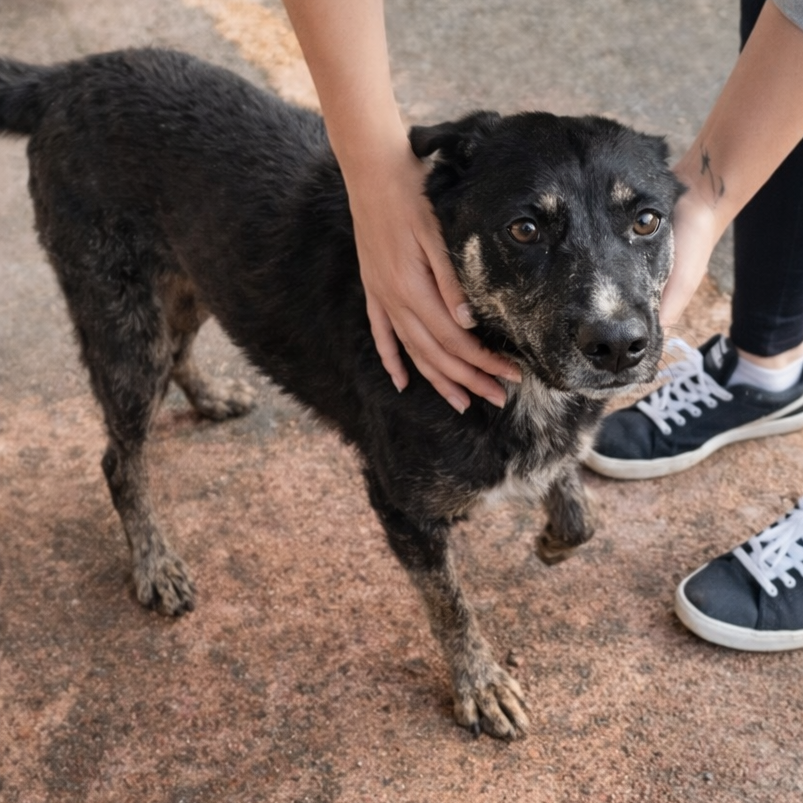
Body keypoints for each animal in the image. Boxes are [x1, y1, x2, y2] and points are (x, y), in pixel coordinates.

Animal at [0, 48, 682, 739]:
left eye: (646, 220)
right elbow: (450, 604)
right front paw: (479, 684)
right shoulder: (400, 503)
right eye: (524, 229)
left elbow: (578, 513)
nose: (618, 345)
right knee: (120, 460)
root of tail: (67, 75)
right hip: (121, 324)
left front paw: (550, 541)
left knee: (178, 353)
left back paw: (209, 395)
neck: (515, 370)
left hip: (192, 277)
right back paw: (154, 563)